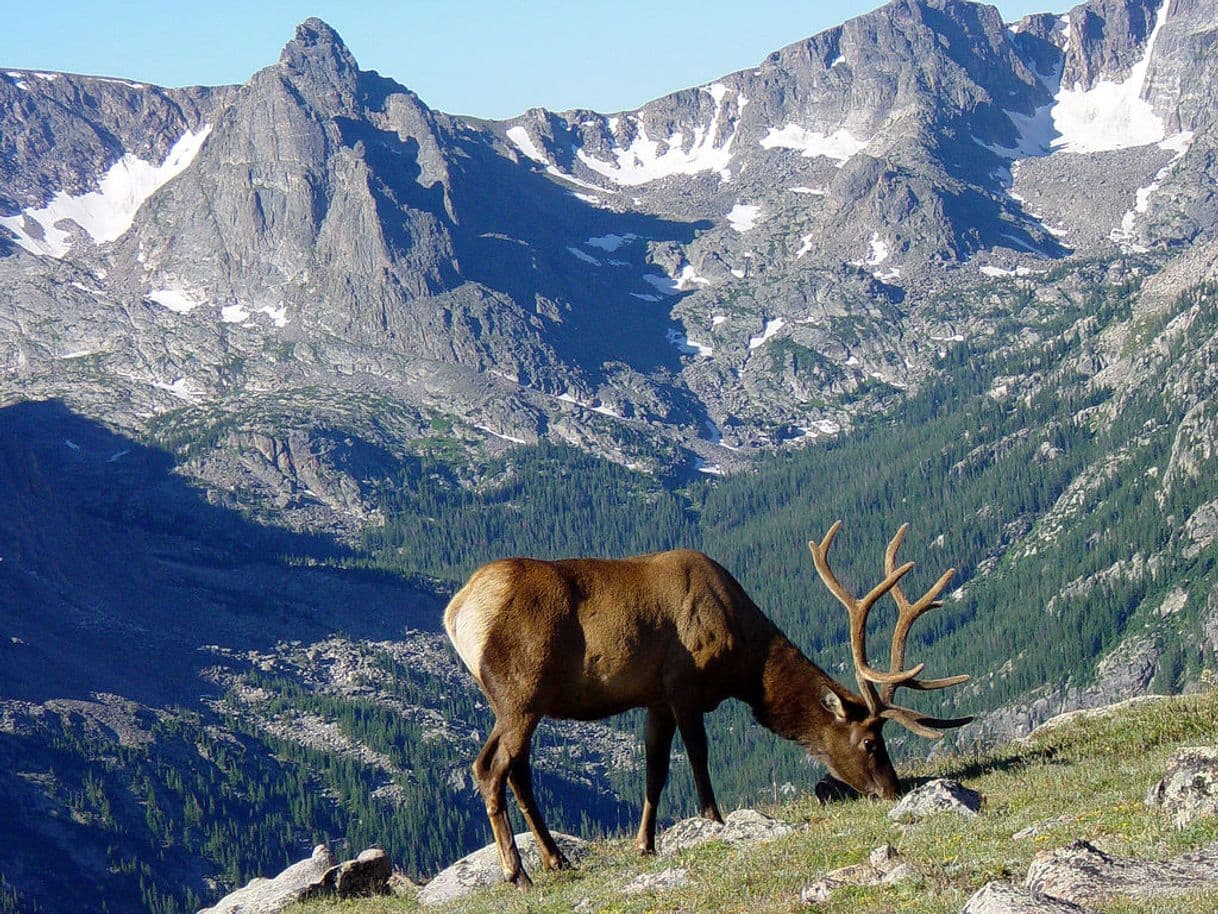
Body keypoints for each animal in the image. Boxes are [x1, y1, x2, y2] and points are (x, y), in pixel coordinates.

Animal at [443, 526, 964, 892]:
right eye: (871, 742)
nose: (892, 790)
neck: (744, 663)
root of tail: (458, 611)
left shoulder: (654, 698)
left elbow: (655, 770)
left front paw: (646, 845)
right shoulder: (684, 683)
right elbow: (698, 755)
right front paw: (714, 820)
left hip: (516, 703)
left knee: (517, 771)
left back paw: (556, 858)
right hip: (519, 692)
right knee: (490, 767)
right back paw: (518, 873)